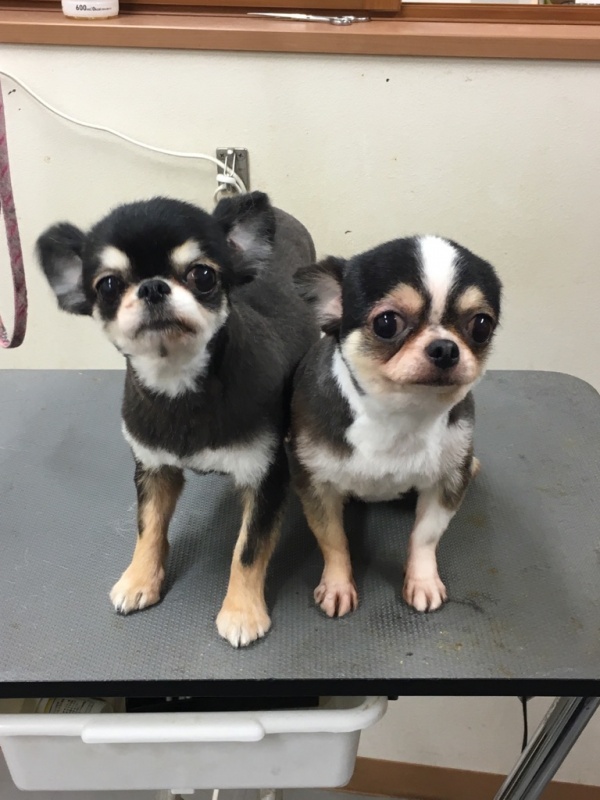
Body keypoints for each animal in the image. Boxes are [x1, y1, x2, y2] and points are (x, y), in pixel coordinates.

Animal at [36, 191, 318, 647]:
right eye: (108, 285)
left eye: (202, 275)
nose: (152, 287)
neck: (180, 387)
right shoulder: (153, 469)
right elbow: (148, 528)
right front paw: (139, 580)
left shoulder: (265, 477)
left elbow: (248, 549)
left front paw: (241, 611)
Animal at [290, 235, 502, 617]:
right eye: (387, 323)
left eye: (481, 325)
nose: (445, 348)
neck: (399, 416)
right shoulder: (315, 485)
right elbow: (333, 539)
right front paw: (337, 585)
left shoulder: (447, 483)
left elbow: (425, 537)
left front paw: (422, 581)